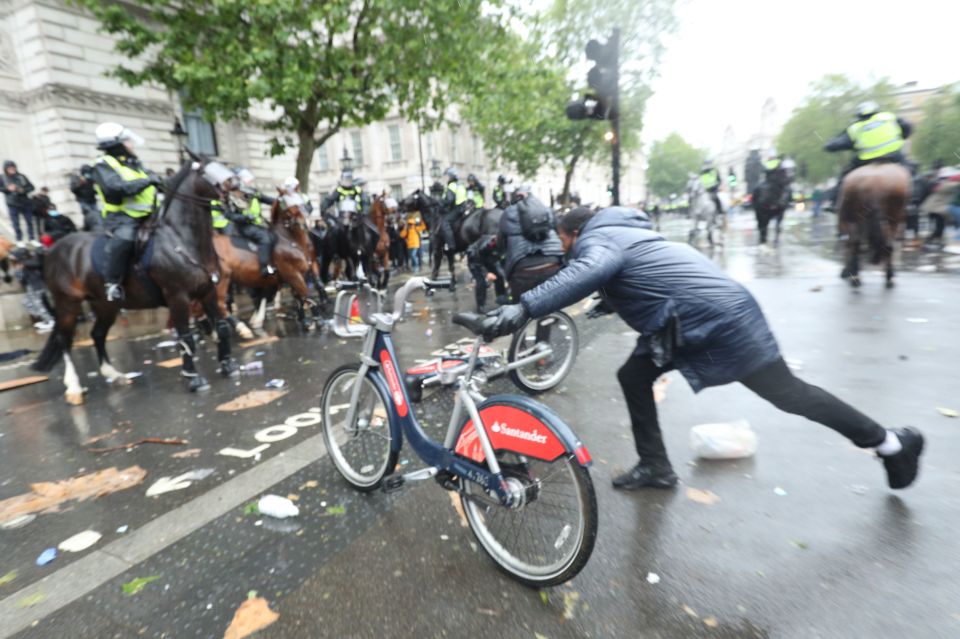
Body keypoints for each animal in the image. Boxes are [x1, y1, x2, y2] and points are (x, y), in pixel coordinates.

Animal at [34, 157, 238, 402]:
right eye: (208, 170)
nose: (237, 185)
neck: (181, 239)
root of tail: (52, 250)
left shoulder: (207, 291)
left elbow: (222, 327)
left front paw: (228, 366)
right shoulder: (177, 297)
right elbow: (185, 337)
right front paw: (194, 379)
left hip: (105, 305)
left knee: (97, 334)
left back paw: (114, 374)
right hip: (68, 304)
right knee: (64, 340)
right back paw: (73, 387)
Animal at [214, 192, 326, 336]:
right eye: (286, 202)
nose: (303, 221)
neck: (291, 241)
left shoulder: (305, 269)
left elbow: (301, 294)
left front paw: (306, 320)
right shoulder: (292, 274)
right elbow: (305, 294)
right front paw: (317, 321)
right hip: (223, 281)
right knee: (220, 304)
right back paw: (242, 328)